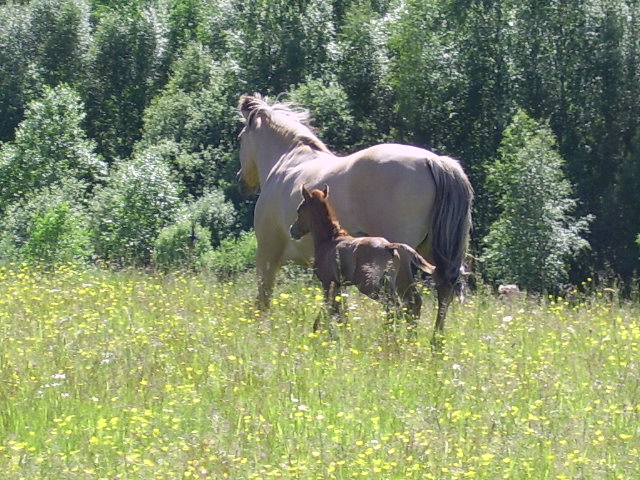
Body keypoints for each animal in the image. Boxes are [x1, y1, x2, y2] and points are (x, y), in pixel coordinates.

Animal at [238, 94, 472, 348]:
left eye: (240, 138)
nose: (241, 180)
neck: (288, 163)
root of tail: (434, 161)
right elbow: (339, 311)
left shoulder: (267, 255)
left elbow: (263, 300)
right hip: (431, 255)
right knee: (440, 295)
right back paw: (434, 344)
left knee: (409, 304)